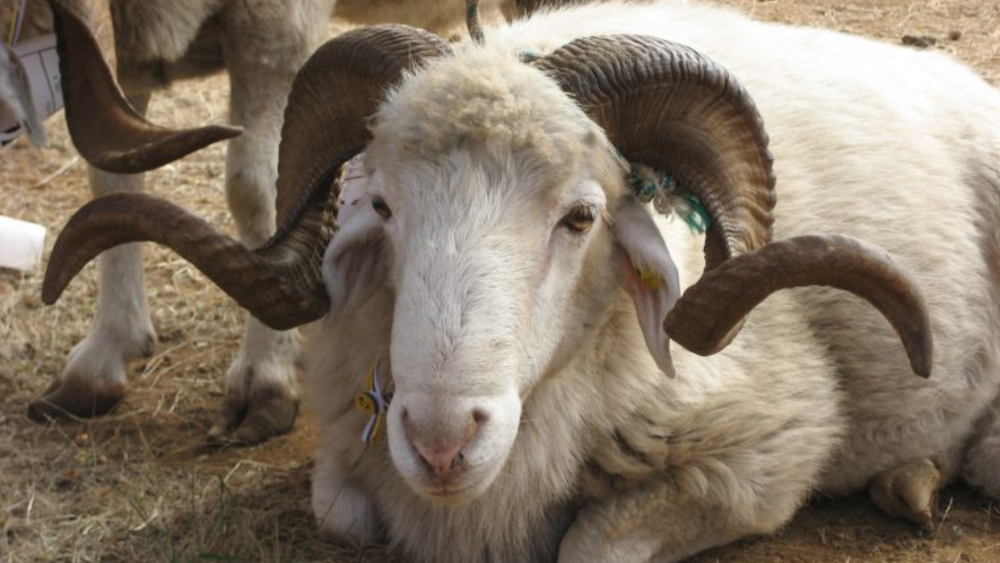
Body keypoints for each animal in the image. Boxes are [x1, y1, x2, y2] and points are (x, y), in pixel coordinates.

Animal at [39, 0, 1000, 561]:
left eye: (580, 216)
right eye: (381, 206)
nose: (439, 441)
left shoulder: (766, 453)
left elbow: (589, 549)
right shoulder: (349, 450)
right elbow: (345, 515)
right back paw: (910, 481)